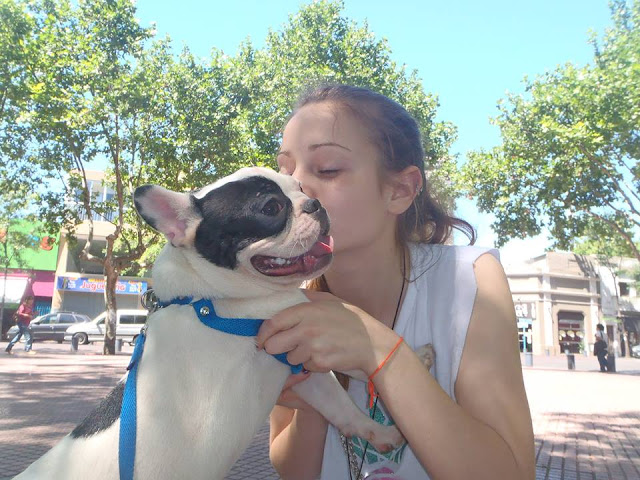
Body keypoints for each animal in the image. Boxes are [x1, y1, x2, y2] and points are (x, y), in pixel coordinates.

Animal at [15, 168, 402, 480]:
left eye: (302, 187)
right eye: (271, 208)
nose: (316, 203)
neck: (211, 302)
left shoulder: (294, 361)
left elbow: (341, 406)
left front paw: (378, 433)